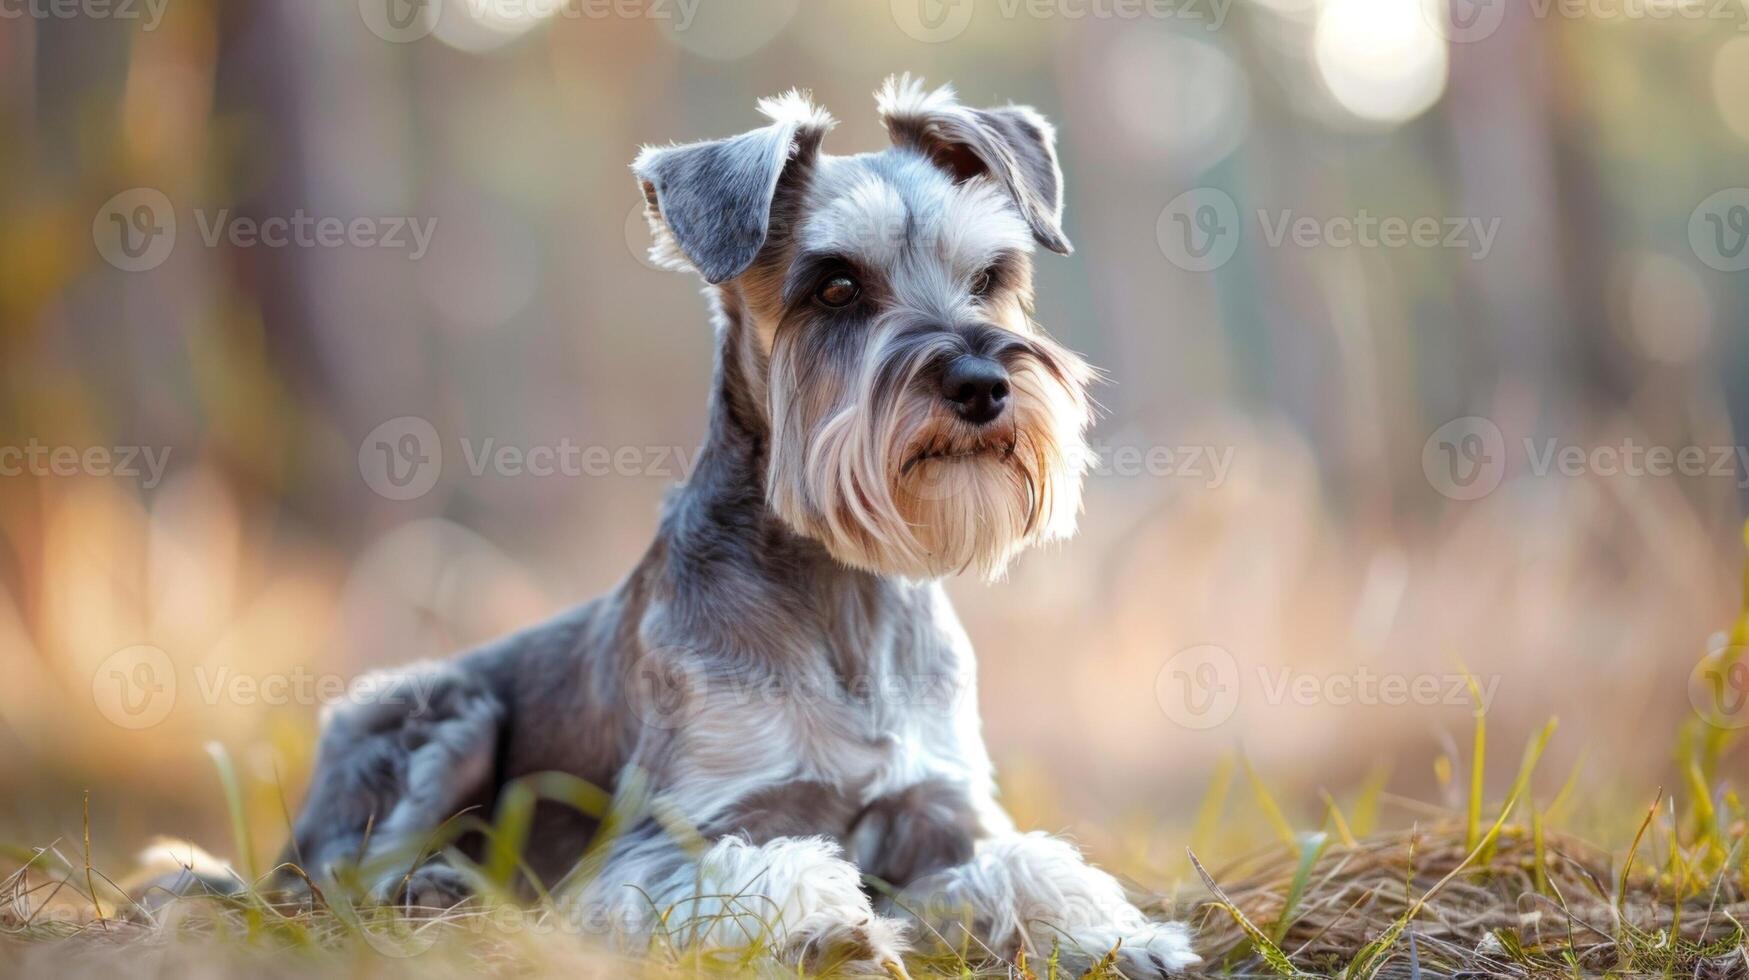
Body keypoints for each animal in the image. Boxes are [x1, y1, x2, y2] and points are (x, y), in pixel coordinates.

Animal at [286, 78, 1203, 980]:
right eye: (835, 286)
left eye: (987, 275)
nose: (981, 384)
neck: (843, 586)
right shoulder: (662, 841)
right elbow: (756, 870)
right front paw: (825, 930)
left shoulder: (942, 815)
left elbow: (1024, 863)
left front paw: (1120, 936)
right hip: (438, 714)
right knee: (337, 879)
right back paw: (431, 890)